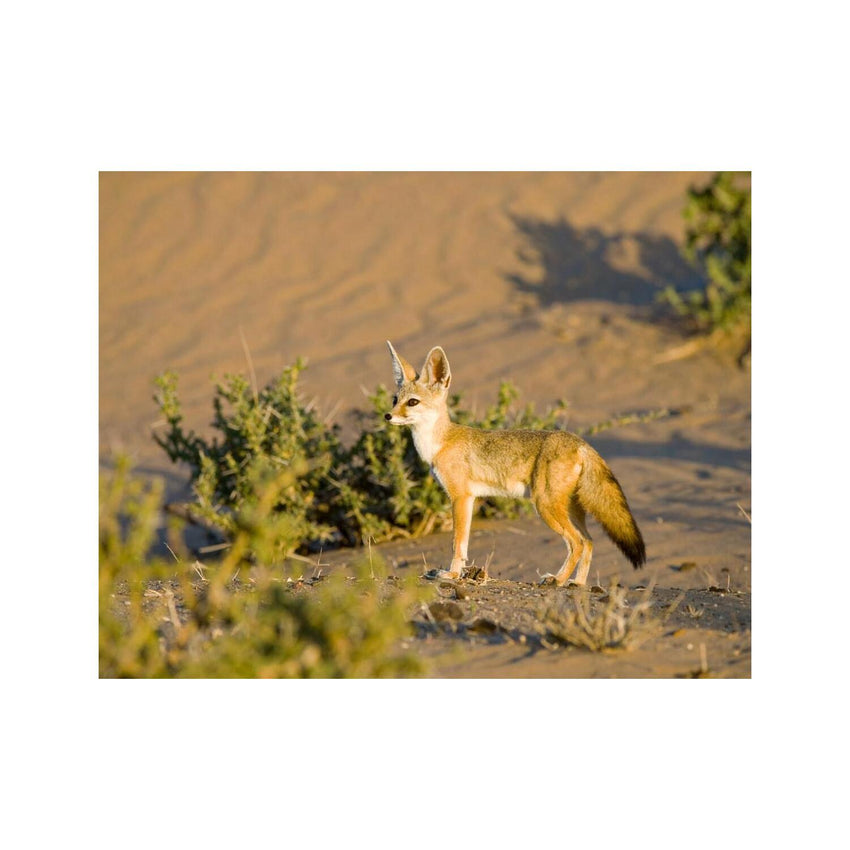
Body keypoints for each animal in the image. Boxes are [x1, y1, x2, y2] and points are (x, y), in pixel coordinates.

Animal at [384, 341, 646, 585]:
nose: (388, 416)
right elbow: (463, 544)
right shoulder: (468, 498)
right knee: (589, 541)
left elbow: (458, 543)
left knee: (577, 543)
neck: (440, 442)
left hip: (545, 505)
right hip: (570, 509)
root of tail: (580, 442)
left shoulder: (460, 497)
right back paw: (577, 583)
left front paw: (452, 574)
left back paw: (558, 580)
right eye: (395, 399)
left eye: (413, 402)